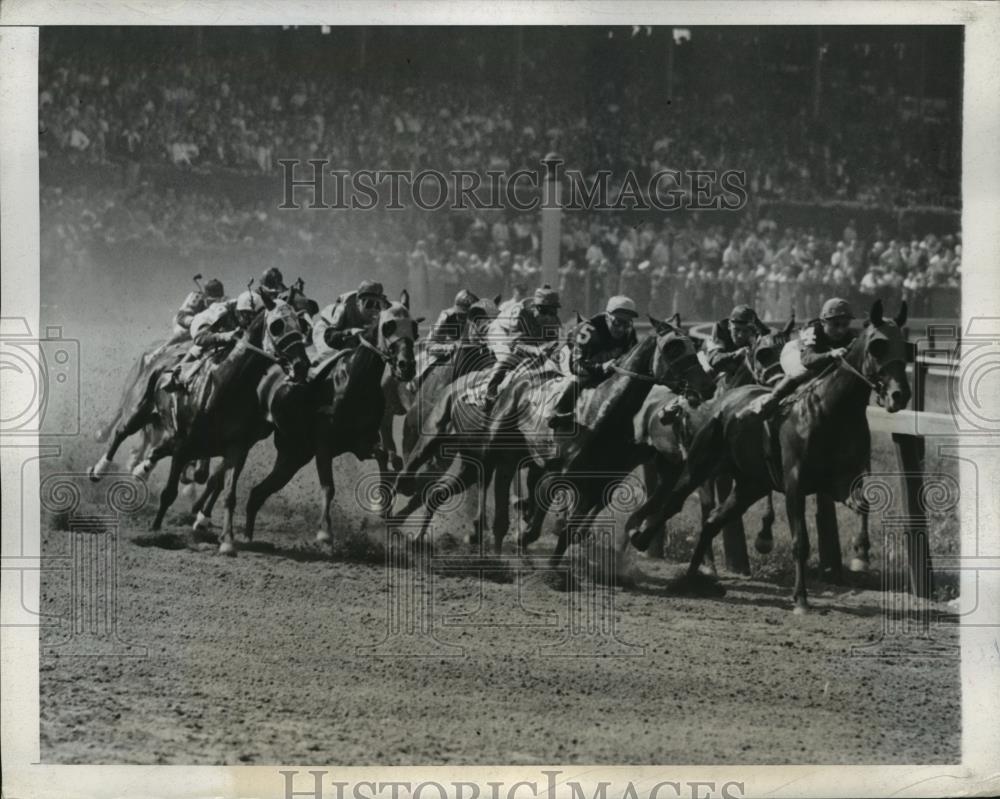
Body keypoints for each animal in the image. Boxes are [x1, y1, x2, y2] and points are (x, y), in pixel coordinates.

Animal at [244, 304, 420, 548]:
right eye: (388, 326)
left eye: (414, 328)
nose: (407, 366)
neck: (354, 382)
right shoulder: (324, 445)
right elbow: (328, 486)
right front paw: (325, 532)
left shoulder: (359, 443)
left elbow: (382, 454)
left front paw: (381, 505)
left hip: (293, 456)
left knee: (258, 493)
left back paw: (247, 536)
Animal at [632, 300, 916, 612]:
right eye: (878, 346)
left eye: (906, 347)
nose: (899, 395)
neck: (833, 412)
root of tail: (725, 401)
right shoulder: (794, 484)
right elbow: (800, 542)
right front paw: (801, 598)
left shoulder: (843, 481)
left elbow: (864, 504)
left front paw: (861, 556)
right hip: (699, 465)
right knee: (675, 502)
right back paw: (641, 539)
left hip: (749, 485)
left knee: (712, 522)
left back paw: (692, 578)